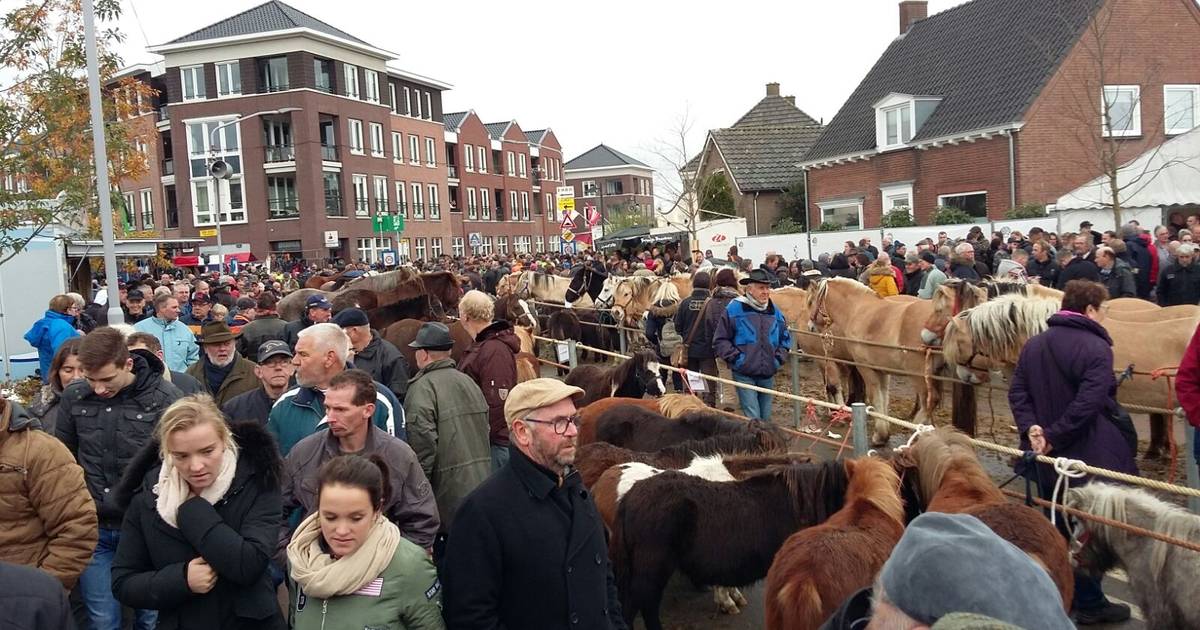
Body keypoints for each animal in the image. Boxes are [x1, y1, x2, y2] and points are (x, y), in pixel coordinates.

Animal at [811, 277, 940, 444]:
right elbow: (883, 397)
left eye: (811, 301)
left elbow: (875, 397)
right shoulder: (882, 371)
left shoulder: (865, 368)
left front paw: (880, 435)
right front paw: (884, 432)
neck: (858, 310)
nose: (811, 326)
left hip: (919, 376)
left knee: (929, 402)